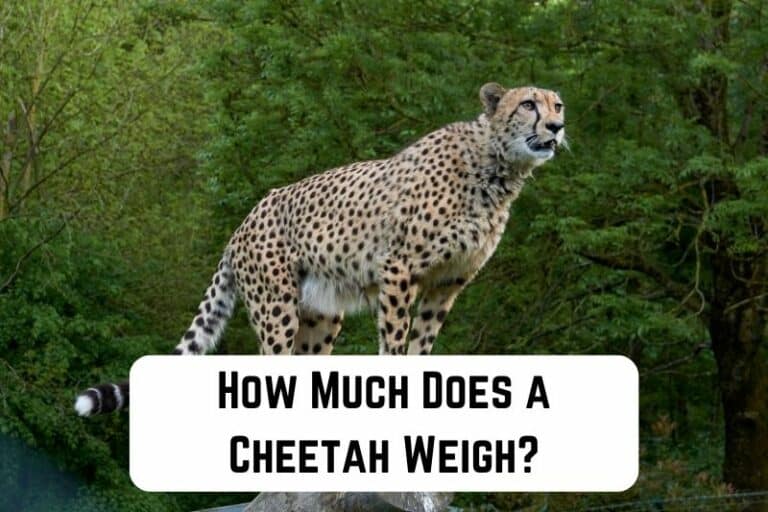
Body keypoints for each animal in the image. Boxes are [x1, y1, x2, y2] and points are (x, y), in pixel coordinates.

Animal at [74, 83, 565, 416]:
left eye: (557, 105)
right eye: (528, 104)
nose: (557, 127)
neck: (497, 168)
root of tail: (243, 223)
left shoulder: (448, 282)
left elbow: (422, 344)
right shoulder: (399, 269)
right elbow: (395, 342)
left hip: (321, 314)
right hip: (277, 307)